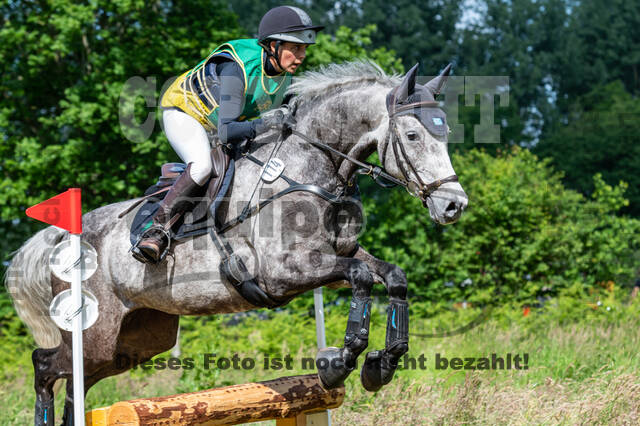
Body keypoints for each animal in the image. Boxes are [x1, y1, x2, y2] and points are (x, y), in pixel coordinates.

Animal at [5, 61, 468, 425]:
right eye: (413, 137)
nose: (453, 205)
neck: (310, 167)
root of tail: (62, 238)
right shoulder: (284, 272)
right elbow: (360, 278)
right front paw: (338, 362)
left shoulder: (335, 258)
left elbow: (391, 277)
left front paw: (381, 365)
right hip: (96, 333)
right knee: (46, 366)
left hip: (133, 342)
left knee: (75, 381)